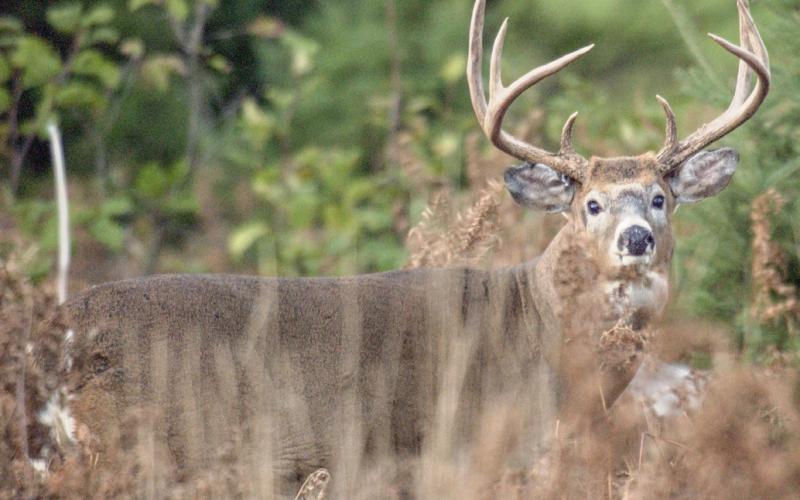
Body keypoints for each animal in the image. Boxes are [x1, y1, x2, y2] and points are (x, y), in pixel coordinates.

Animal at [32, 0, 768, 494]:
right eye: (590, 203)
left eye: (660, 197)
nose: (636, 237)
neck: (546, 337)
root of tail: (52, 339)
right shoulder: (458, 451)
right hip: (138, 452)